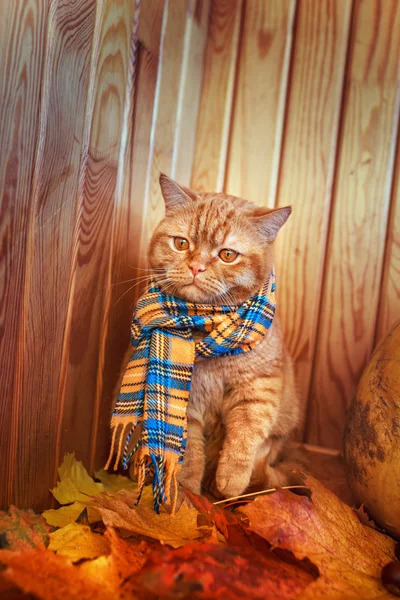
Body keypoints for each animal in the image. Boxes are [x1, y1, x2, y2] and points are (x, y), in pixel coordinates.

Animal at [114, 175, 302, 502]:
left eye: (227, 255)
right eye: (181, 243)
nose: (196, 267)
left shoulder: (258, 386)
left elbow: (246, 434)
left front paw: (231, 480)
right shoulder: (187, 403)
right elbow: (187, 450)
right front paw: (185, 491)